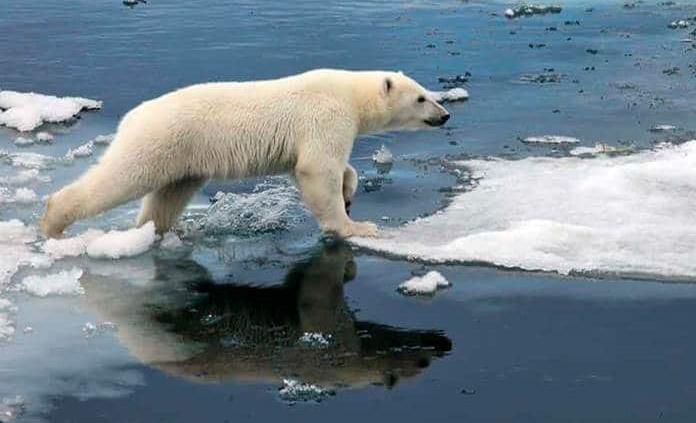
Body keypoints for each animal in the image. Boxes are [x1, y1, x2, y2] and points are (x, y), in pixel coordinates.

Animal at [40, 69, 450, 239]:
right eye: (421, 97)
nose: (445, 115)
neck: (350, 93)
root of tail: (132, 116)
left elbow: (315, 168)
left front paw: (349, 192)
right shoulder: (325, 115)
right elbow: (317, 169)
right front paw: (356, 226)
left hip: (186, 158)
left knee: (168, 197)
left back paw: (157, 230)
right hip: (160, 141)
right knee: (122, 177)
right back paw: (53, 222)